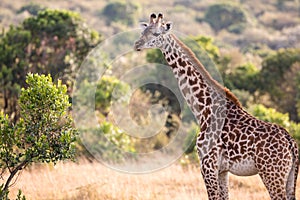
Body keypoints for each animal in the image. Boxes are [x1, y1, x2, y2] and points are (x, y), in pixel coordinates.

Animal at [135, 13, 298, 199]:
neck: (203, 108)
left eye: (156, 34)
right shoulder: (223, 170)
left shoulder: (207, 163)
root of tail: (291, 143)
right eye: (143, 31)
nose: (137, 44)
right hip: (289, 176)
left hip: (272, 173)